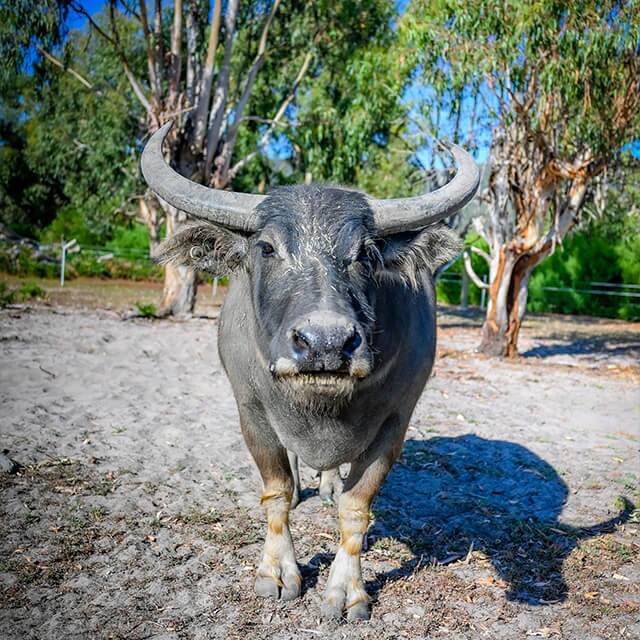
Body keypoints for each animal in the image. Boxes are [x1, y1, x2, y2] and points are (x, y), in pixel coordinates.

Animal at [141, 121, 480, 620]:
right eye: (267, 247)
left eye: (365, 252)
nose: (325, 343)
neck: (321, 407)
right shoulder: (251, 412)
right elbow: (276, 492)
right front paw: (279, 572)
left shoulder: (396, 422)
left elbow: (357, 509)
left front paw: (346, 591)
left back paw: (328, 486)